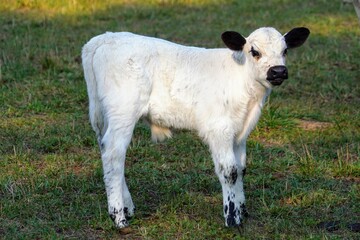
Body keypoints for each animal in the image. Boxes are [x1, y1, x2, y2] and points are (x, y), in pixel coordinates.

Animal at [82, 27, 310, 228]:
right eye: (254, 51)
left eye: (285, 50)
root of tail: (103, 38)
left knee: (108, 152)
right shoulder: (219, 129)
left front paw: (242, 210)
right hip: (123, 112)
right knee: (114, 154)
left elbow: (241, 168)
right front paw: (232, 218)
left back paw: (128, 208)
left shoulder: (240, 134)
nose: (278, 71)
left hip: (106, 116)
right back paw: (119, 217)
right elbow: (229, 171)